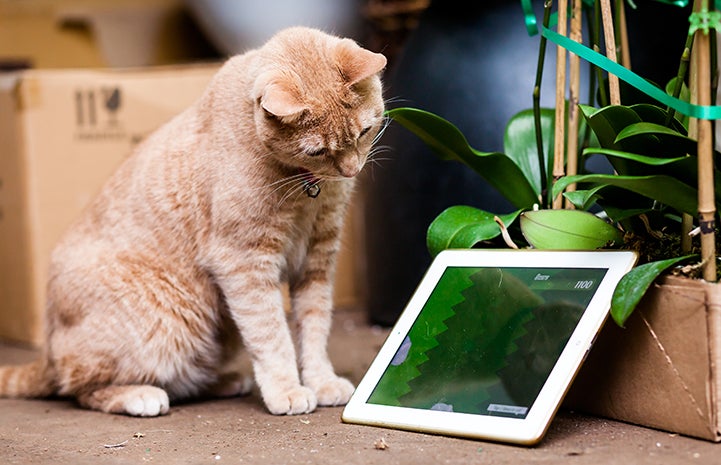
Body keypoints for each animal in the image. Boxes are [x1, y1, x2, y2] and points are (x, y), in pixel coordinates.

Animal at [0, 27, 388, 416]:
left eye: (364, 131)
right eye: (317, 151)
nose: (351, 170)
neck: (305, 188)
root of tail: (48, 351)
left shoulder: (317, 260)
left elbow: (315, 328)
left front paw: (322, 381)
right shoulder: (245, 263)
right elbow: (271, 334)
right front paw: (287, 389)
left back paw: (223, 381)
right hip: (167, 325)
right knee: (79, 386)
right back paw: (140, 394)